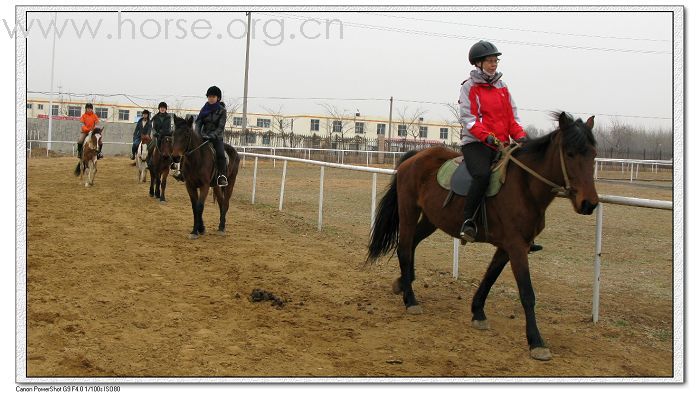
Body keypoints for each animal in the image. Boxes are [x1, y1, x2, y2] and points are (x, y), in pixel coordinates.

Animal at [364, 112, 600, 362]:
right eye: (570, 153)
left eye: (593, 154)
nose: (589, 203)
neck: (524, 187)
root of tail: (415, 156)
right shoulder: (516, 247)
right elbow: (527, 293)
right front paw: (536, 342)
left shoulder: (509, 247)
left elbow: (489, 278)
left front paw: (477, 312)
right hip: (409, 211)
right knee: (404, 248)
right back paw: (411, 300)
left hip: (431, 219)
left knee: (412, 245)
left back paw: (404, 282)